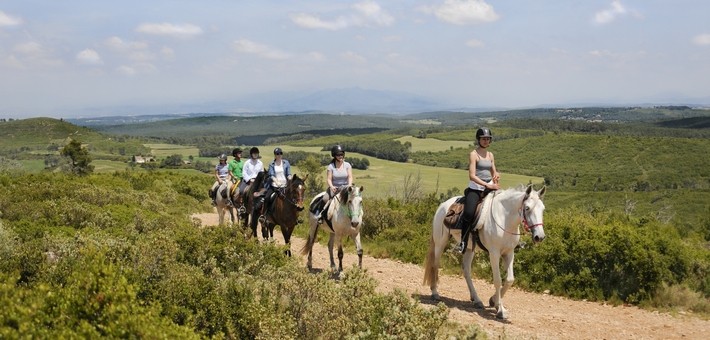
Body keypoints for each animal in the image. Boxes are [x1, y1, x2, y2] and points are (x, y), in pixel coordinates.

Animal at [422, 185, 552, 320]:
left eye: (543, 209)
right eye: (527, 208)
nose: (539, 237)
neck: (504, 219)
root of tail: (443, 205)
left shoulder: (509, 253)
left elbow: (510, 279)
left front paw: (494, 301)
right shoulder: (494, 253)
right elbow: (498, 280)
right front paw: (501, 310)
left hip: (469, 248)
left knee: (466, 271)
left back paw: (477, 300)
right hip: (440, 243)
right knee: (435, 265)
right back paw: (435, 293)